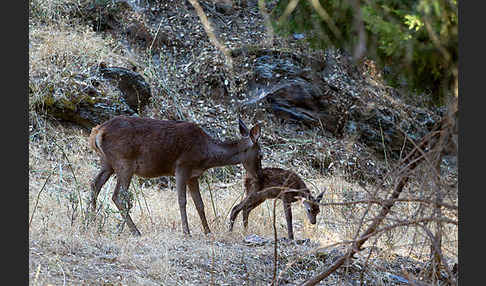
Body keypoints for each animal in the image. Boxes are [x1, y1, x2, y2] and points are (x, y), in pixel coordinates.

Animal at [88, 115, 262, 236]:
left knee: (95, 185)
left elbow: (199, 204)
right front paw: (187, 231)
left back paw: (92, 221)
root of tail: (97, 132)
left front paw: (208, 231)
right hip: (124, 162)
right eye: (260, 155)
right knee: (118, 196)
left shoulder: (193, 175)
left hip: (107, 163)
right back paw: (135, 231)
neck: (206, 154)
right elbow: (182, 200)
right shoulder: (182, 166)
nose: (258, 176)